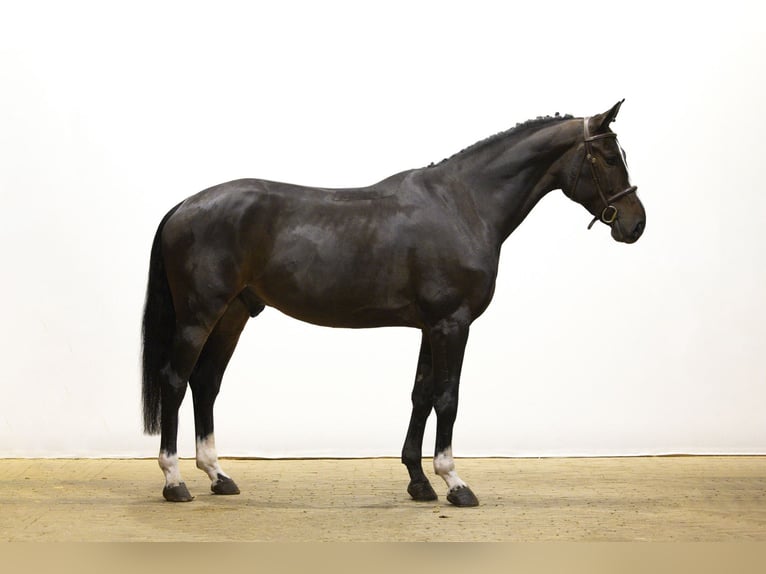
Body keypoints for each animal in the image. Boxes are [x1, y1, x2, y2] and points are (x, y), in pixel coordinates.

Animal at [141, 100, 645, 506]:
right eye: (606, 156)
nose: (636, 224)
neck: (463, 205)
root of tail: (185, 205)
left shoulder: (430, 327)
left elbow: (421, 395)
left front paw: (419, 483)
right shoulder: (452, 324)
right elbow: (448, 398)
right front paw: (455, 483)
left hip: (233, 315)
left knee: (206, 383)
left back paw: (218, 476)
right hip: (198, 317)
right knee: (176, 381)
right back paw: (174, 482)